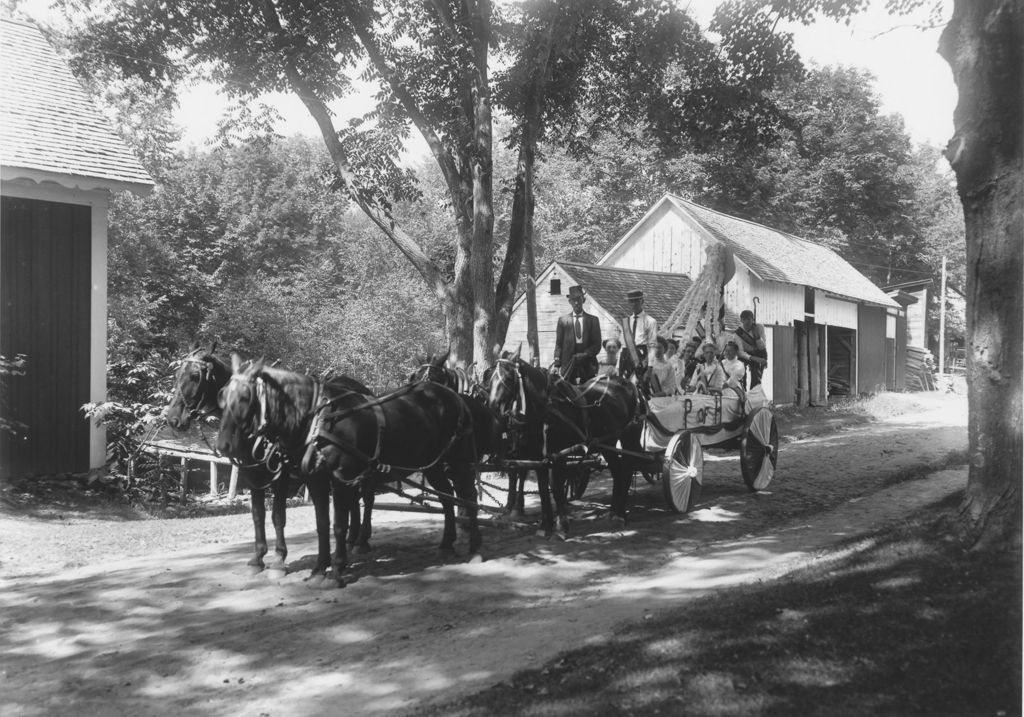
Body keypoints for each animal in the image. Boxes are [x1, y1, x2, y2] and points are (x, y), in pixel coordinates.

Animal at [165, 344, 374, 573]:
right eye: (177, 374)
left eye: (195, 376)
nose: (173, 419)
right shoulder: (251, 473)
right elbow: (258, 515)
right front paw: (258, 557)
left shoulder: (280, 475)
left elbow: (277, 516)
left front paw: (279, 559)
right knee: (353, 500)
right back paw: (351, 539)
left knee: (367, 498)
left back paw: (361, 541)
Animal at [219, 360, 479, 585]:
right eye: (222, 396)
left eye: (245, 397)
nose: (223, 444)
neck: (320, 419)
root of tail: (455, 397)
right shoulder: (316, 480)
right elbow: (322, 524)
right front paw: (319, 569)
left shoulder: (340, 479)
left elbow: (338, 525)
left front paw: (336, 569)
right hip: (433, 465)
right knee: (447, 497)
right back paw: (446, 544)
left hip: (459, 461)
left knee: (468, 495)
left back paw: (475, 550)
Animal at [487, 348, 638, 536]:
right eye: (490, 378)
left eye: (508, 378)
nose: (492, 406)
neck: (547, 408)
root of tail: (627, 384)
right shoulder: (538, 457)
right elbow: (543, 489)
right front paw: (545, 526)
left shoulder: (559, 454)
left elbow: (557, 487)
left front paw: (562, 525)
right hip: (608, 444)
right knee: (619, 471)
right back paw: (614, 512)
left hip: (624, 439)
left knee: (626, 469)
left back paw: (620, 514)